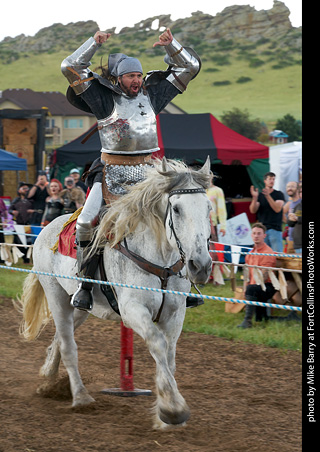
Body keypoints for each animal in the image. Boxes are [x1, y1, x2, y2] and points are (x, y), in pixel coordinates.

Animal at [16, 157, 212, 430]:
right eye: (177, 209)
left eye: (208, 208)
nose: (201, 265)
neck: (159, 259)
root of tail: (46, 228)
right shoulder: (133, 311)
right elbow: (158, 344)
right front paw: (172, 410)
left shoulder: (175, 314)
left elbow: (169, 355)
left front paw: (166, 415)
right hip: (56, 296)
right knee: (68, 345)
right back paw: (80, 397)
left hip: (78, 307)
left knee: (59, 336)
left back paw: (49, 379)